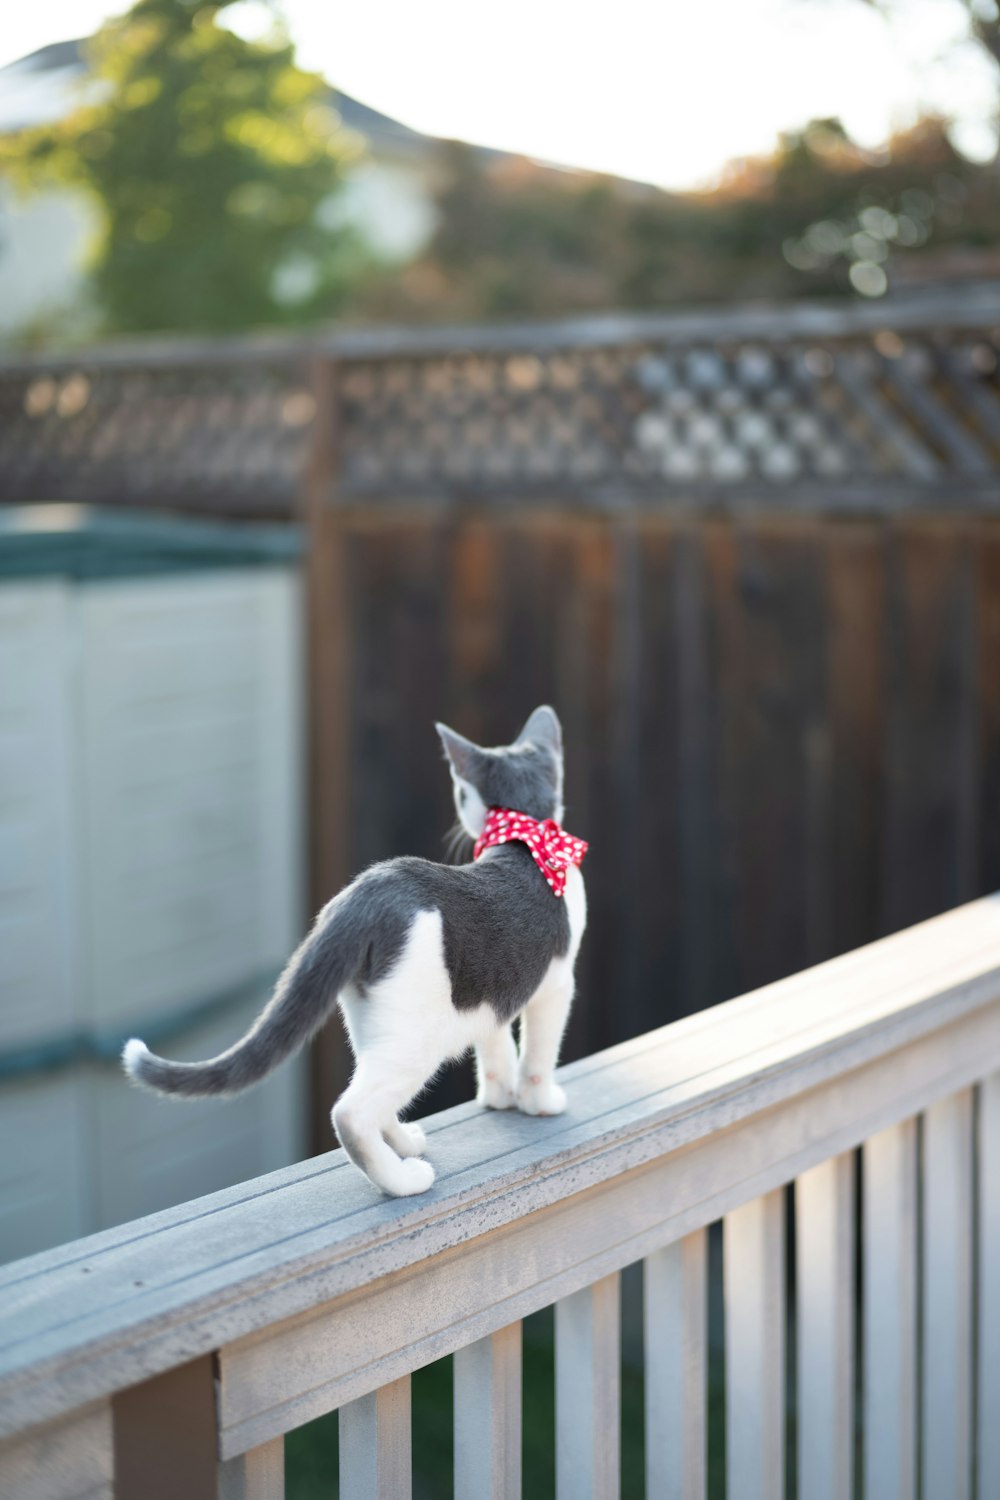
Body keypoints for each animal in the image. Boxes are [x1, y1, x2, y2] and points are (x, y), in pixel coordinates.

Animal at [122, 702, 587, 1194]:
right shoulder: (557, 983)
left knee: (370, 1085)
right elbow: (538, 1051)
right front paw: (539, 1101)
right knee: (351, 1111)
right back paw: (401, 1179)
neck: (523, 846)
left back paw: (401, 1141)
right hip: (415, 1035)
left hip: (372, 1016)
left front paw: (499, 1097)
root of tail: (361, 897)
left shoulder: (492, 992)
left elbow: (496, 1048)